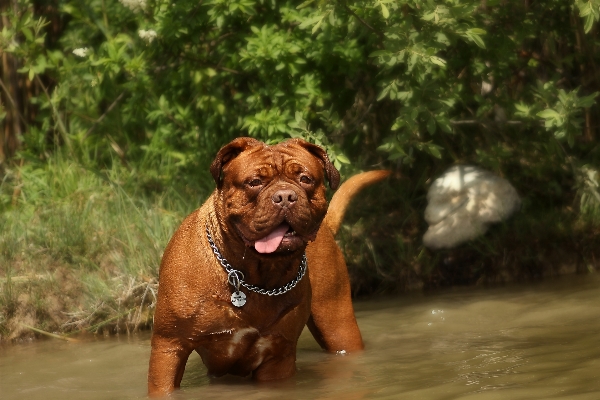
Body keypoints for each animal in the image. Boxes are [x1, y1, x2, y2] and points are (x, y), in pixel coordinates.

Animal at [147, 138, 386, 394]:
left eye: (305, 179)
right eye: (254, 182)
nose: (285, 196)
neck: (252, 273)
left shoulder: (277, 356)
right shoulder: (168, 348)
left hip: (338, 324)